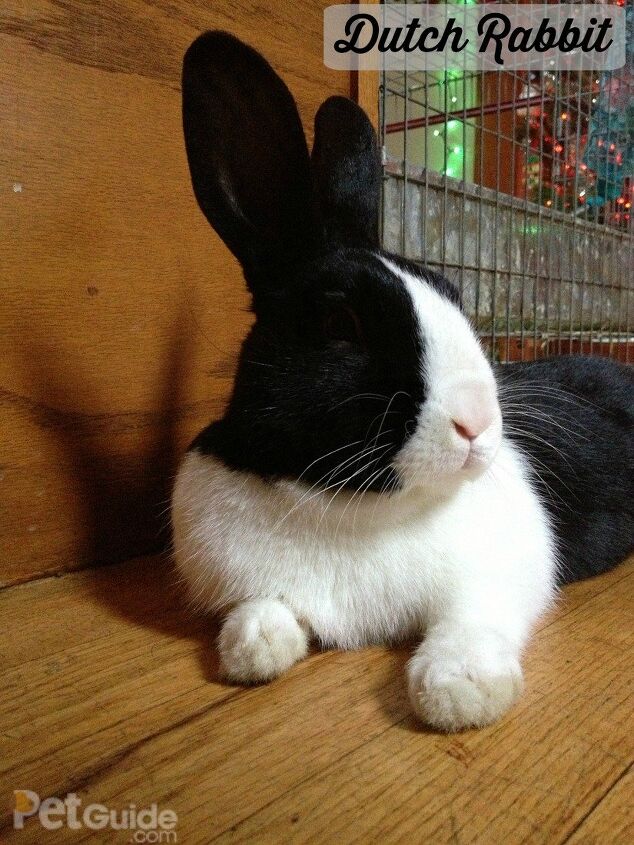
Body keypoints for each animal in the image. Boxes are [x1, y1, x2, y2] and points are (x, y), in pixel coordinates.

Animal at [172, 31, 634, 732]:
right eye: (340, 322)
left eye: (453, 292)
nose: (478, 423)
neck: (347, 506)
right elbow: (262, 610)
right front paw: (251, 648)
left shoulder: (501, 574)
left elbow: (471, 621)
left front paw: (458, 688)